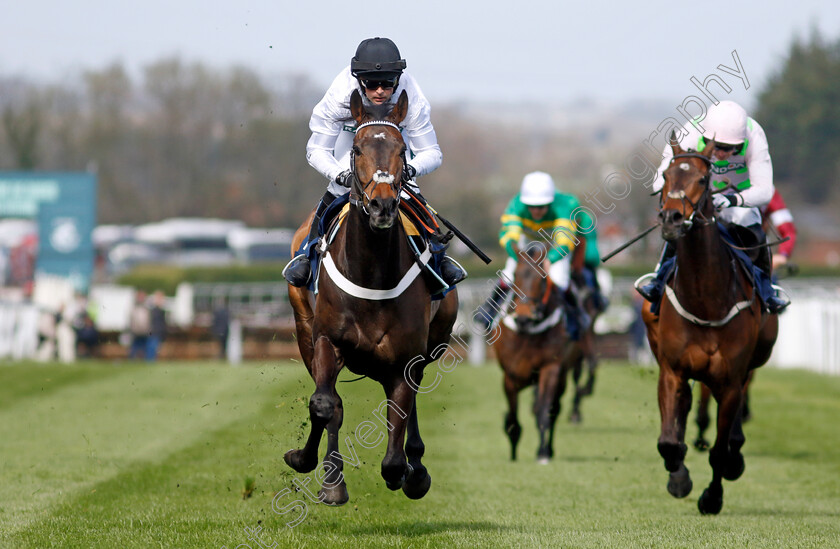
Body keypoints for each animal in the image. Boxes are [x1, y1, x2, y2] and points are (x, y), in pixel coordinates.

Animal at [288, 90, 460, 506]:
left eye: (402, 150)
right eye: (356, 148)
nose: (383, 206)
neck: (372, 274)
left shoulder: (406, 358)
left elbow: (396, 443)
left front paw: (410, 471)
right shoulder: (326, 340)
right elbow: (324, 404)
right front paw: (312, 465)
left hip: (432, 342)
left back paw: (415, 466)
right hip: (303, 328)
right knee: (332, 402)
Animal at [492, 244, 576, 462]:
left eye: (542, 278)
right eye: (515, 274)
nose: (523, 316)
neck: (527, 333)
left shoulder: (551, 368)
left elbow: (543, 411)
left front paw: (543, 453)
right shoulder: (510, 376)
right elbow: (512, 420)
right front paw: (513, 455)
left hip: (561, 377)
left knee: (554, 409)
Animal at [644, 137, 780, 512]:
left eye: (703, 180)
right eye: (666, 175)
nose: (672, 218)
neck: (705, 299)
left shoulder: (730, 380)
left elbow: (720, 449)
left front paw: (712, 496)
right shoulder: (672, 370)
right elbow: (668, 442)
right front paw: (679, 478)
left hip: (756, 356)